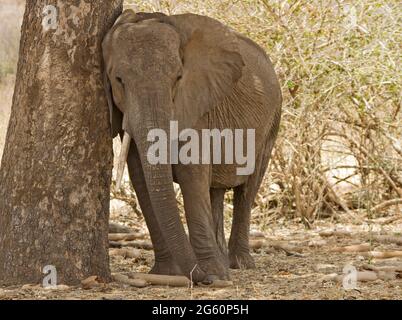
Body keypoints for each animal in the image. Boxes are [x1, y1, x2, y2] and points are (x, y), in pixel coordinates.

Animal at [102, 9, 282, 282]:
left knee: (247, 190)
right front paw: (167, 273)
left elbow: (192, 173)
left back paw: (239, 264)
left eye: (178, 78)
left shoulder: (196, 103)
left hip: (271, 122)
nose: (203, 278)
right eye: (118, 80)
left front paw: (215, 274)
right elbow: (142, 178)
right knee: (215, 190)